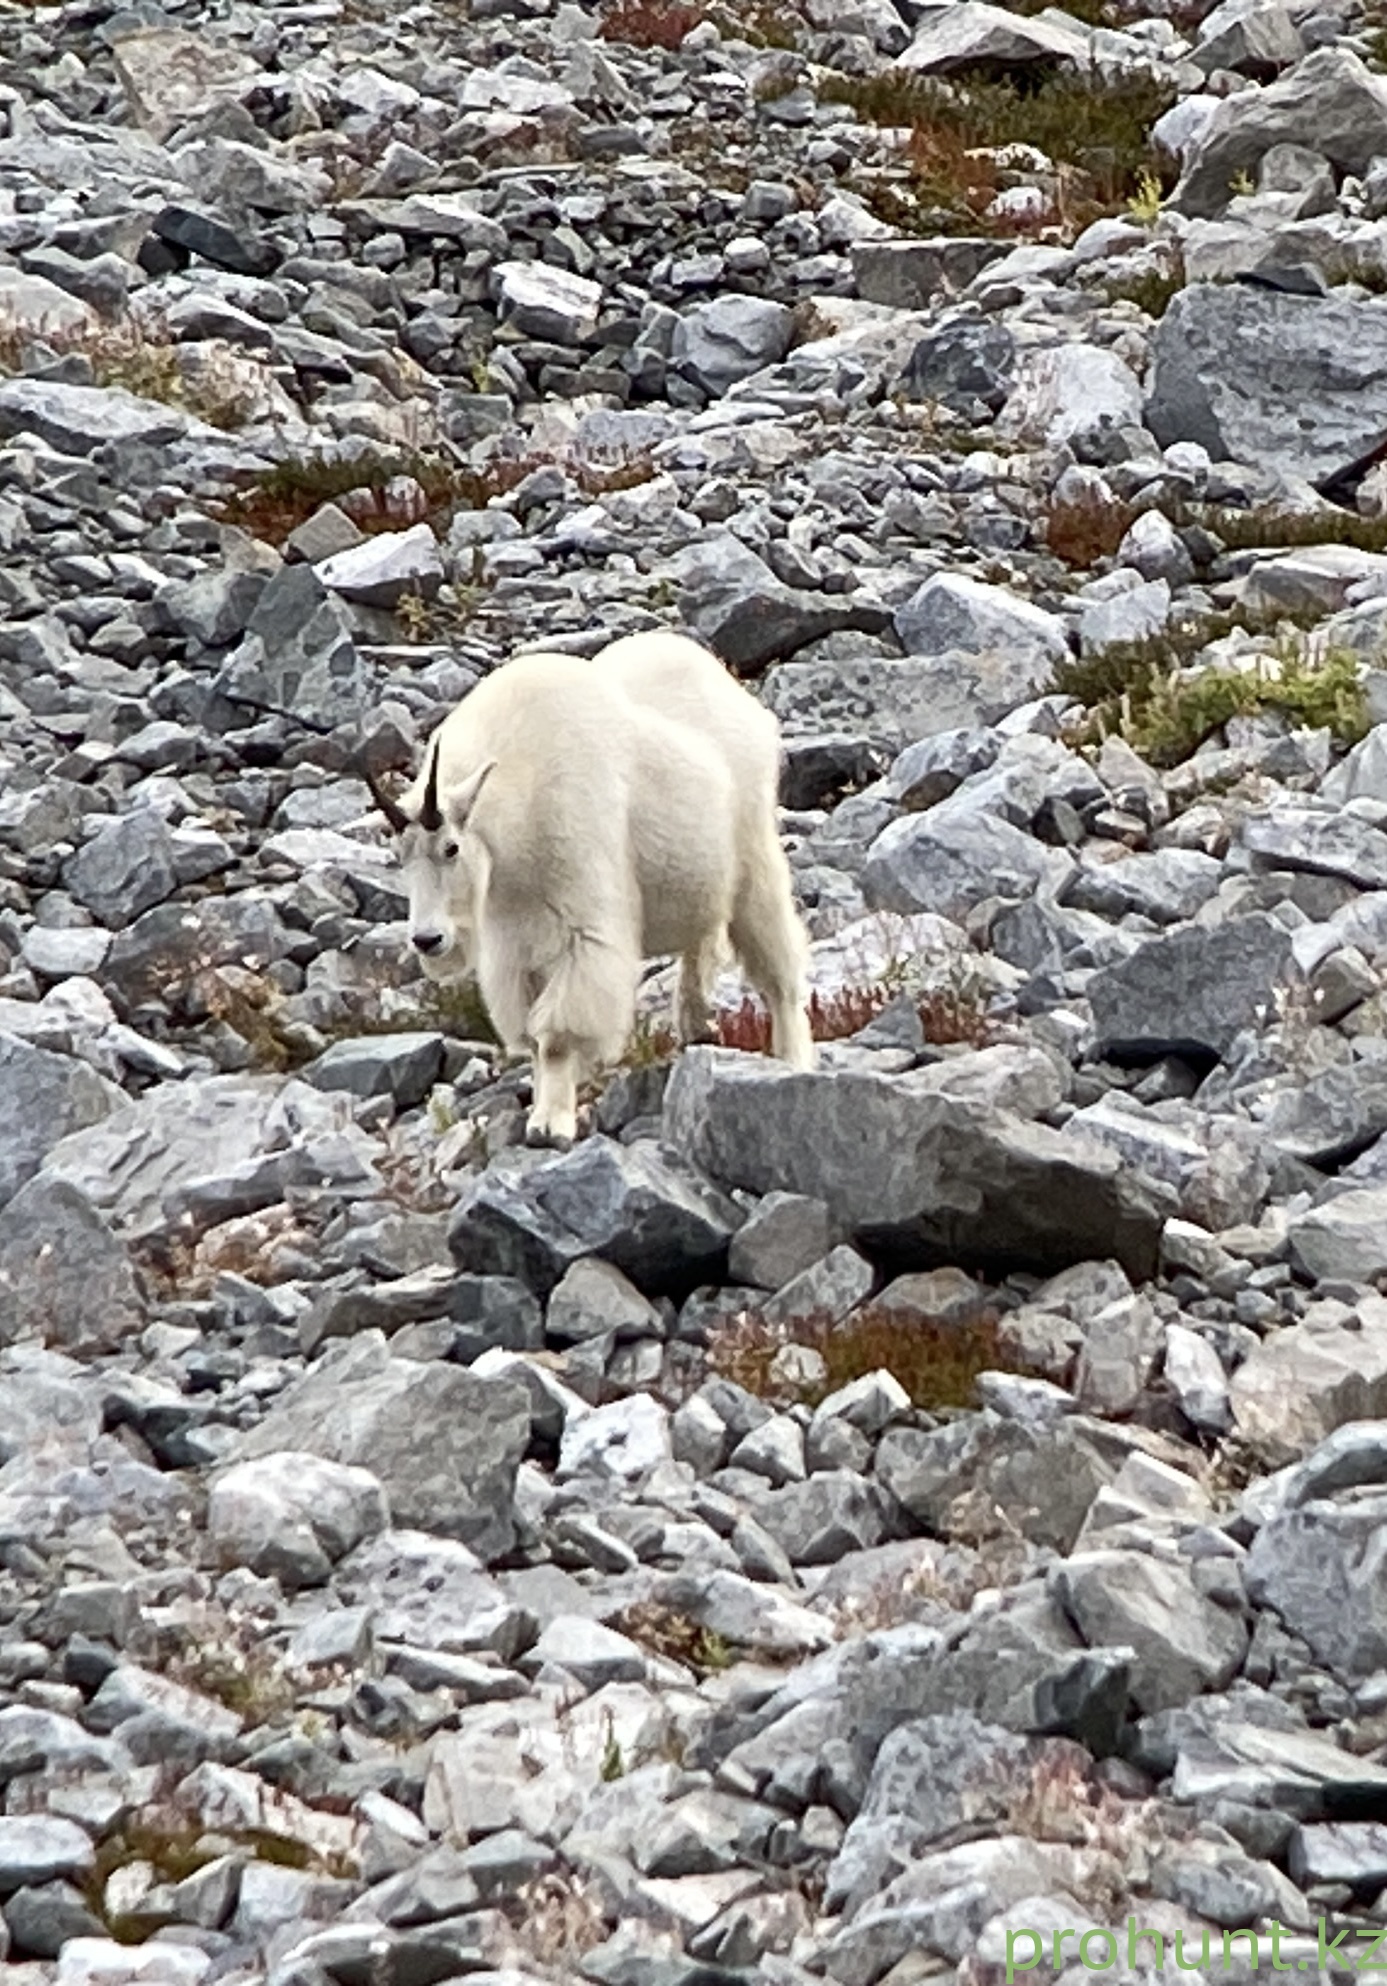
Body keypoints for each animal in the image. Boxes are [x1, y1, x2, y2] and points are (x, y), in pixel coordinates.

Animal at [367, 627, 814, 1143]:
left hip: (754, 856)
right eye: (400, 857)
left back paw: (793, 1058)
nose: (427, 939)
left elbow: (558, 1033)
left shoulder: (581, 926)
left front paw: (551, 1123)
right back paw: (695, 1022)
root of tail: (734, 691)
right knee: (701, 936)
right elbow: (532, 1035)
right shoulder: (511, 942)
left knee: (777, 966)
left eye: (451, 848)